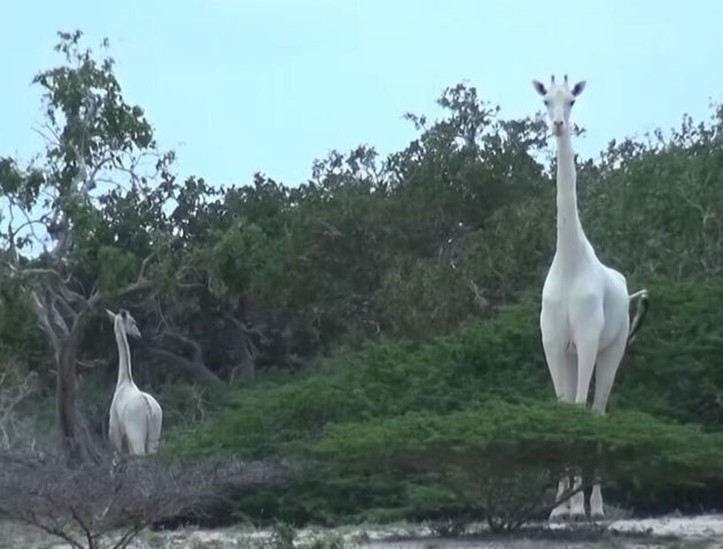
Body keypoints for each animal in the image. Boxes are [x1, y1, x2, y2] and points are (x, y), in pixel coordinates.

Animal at [107, 309, 163, 455]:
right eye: (133, 322)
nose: (138, 335)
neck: (124, 381)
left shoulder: (116, 436)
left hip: (136, 435)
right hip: (154, 436)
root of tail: (149, 408)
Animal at [532, 75, 649, 521]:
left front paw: (578, 508)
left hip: (612, 348)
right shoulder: (553, 343)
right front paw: (556, 510)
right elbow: (563, 410)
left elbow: (583, 410)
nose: (558, 124)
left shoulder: (585, 340)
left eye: (572, 101)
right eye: (545, 101)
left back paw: (596, 505)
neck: (569, 262)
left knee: (599, 411)